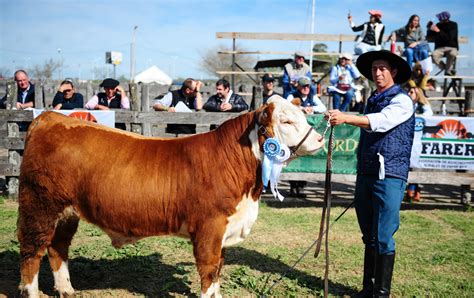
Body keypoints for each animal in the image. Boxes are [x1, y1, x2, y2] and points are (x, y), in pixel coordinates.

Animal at [16, 96, 324, 296]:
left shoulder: (224, 230)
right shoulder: (210, 228)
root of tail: (48, 118)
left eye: (303, 116)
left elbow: (218, 271)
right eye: (286, 121)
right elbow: (209, 272)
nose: (320, 138)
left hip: (67, 212)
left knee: (58, 247)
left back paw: (67, 290)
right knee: (32, 252)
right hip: (39, 206)